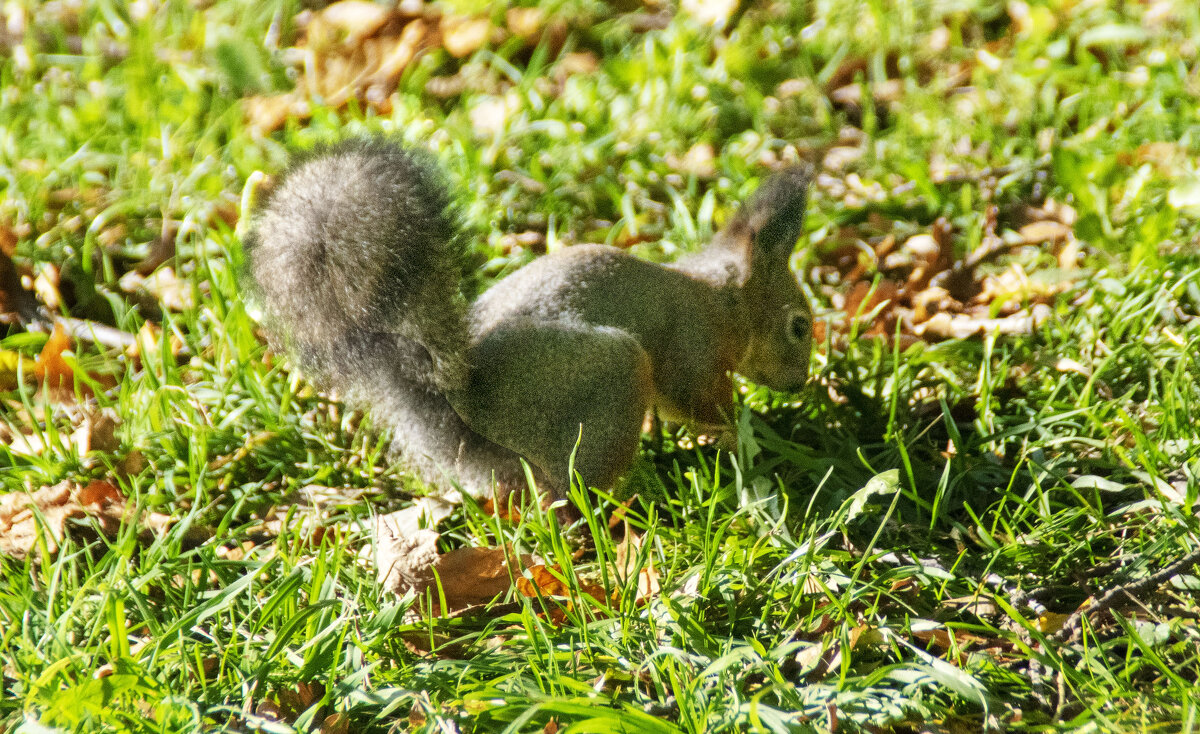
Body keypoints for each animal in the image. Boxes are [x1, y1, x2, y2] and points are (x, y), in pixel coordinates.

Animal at [241, 137, 816, 503]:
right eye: (800, 325)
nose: (799, 383)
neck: (723, 301)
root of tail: (469, 411)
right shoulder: (693, 349)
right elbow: (701, 403)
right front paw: (754, 437)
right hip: (611, 374)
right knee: (572, 498)